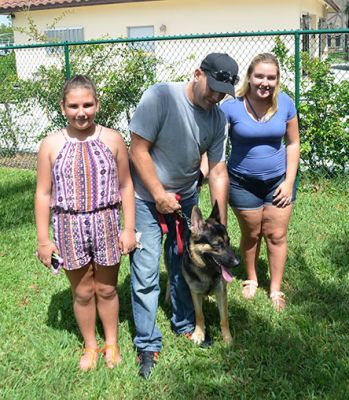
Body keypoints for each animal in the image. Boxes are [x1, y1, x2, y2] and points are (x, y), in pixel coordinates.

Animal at [179, 202, 239, 346]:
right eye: (217, 244)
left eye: (228, 241)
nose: (237, 263)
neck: (207, 271)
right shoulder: (194, 293)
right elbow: (199, 314)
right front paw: (199, 334)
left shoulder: (221, 293)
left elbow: (224, 318)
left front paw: (227, 339)